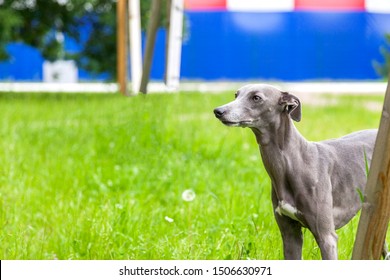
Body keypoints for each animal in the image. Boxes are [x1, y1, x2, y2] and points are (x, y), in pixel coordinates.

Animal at [213, 83, 384, 260]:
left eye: (256, 98)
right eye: (236, 95)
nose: (218, 111)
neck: (296, 162)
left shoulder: (326, 237)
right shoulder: (290, 234)